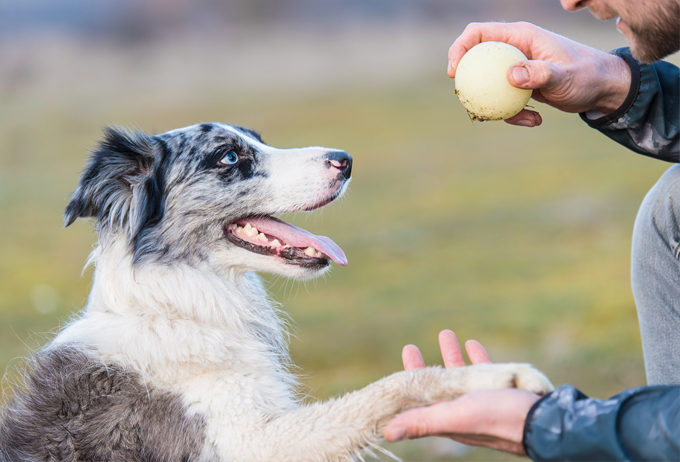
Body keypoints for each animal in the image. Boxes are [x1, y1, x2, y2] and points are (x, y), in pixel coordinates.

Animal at [0, 123, 552, 462]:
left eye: (257, 139)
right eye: (229, 156)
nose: (345, 159)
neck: (179, 303)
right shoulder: (250, 443)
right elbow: (394, 385)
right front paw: (498, 378)